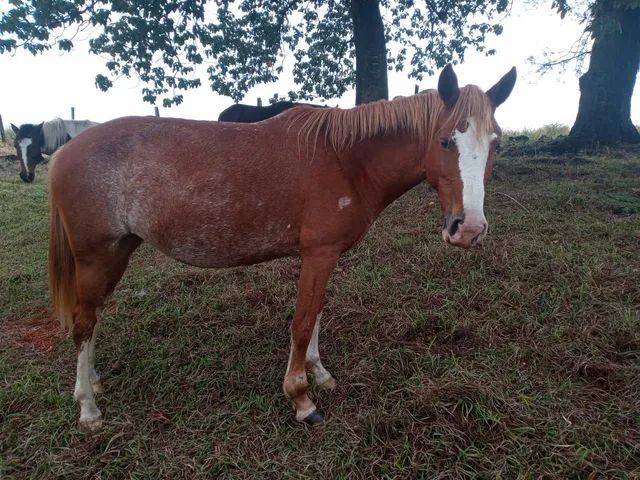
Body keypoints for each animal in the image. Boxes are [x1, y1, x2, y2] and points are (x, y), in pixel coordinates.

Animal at [47, 63, 516, 432]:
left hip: (118, 252)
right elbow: (303, 322)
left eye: (496, 143)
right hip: (96, 255)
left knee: (92, 318)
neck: (346, 159)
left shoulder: (324, 256)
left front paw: (320, 373)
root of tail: (66, 150)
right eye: (445, 141)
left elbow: (318, 314)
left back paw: (93, 381)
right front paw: (301, 399)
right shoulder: (318, 255)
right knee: (83, 322)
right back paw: (88, 408)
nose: (469, 229)